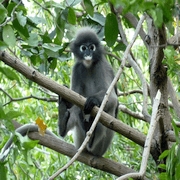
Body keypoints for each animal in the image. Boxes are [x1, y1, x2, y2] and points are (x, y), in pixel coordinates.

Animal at [57, 27, 119, 156]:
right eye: (83, 48)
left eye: (92, 47)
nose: (88, 54)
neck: (89, 65)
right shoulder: (77, 68)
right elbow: (74, 98)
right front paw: (65, 99)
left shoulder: (101, 65)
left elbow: (112, 98)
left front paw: (92, 100)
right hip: (80, 137)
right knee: (77, 109)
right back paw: (63, 120)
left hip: (102, 146)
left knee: (108, 108)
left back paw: (92, 137)